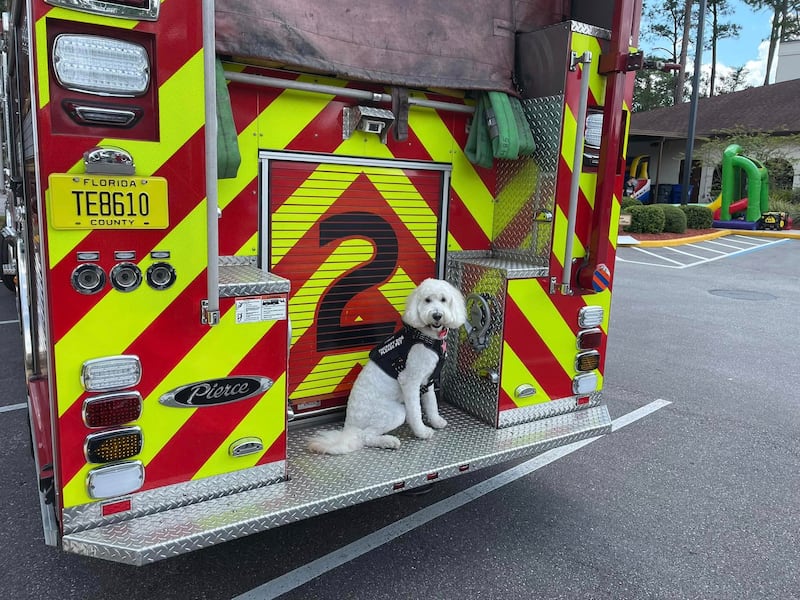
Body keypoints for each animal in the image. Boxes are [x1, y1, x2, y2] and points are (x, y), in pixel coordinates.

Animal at [308, 276, 468, 454]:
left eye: (443, 300)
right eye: (427, 300)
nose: (437, 315)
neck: (427, 337)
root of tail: (349, 428)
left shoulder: (427, 381)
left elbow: (431, 403)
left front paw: (436, 421)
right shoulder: (410, 381)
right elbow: (415, 411)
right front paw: (422, 432)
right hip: (394, 412)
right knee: (366, 436)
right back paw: (388, 441)